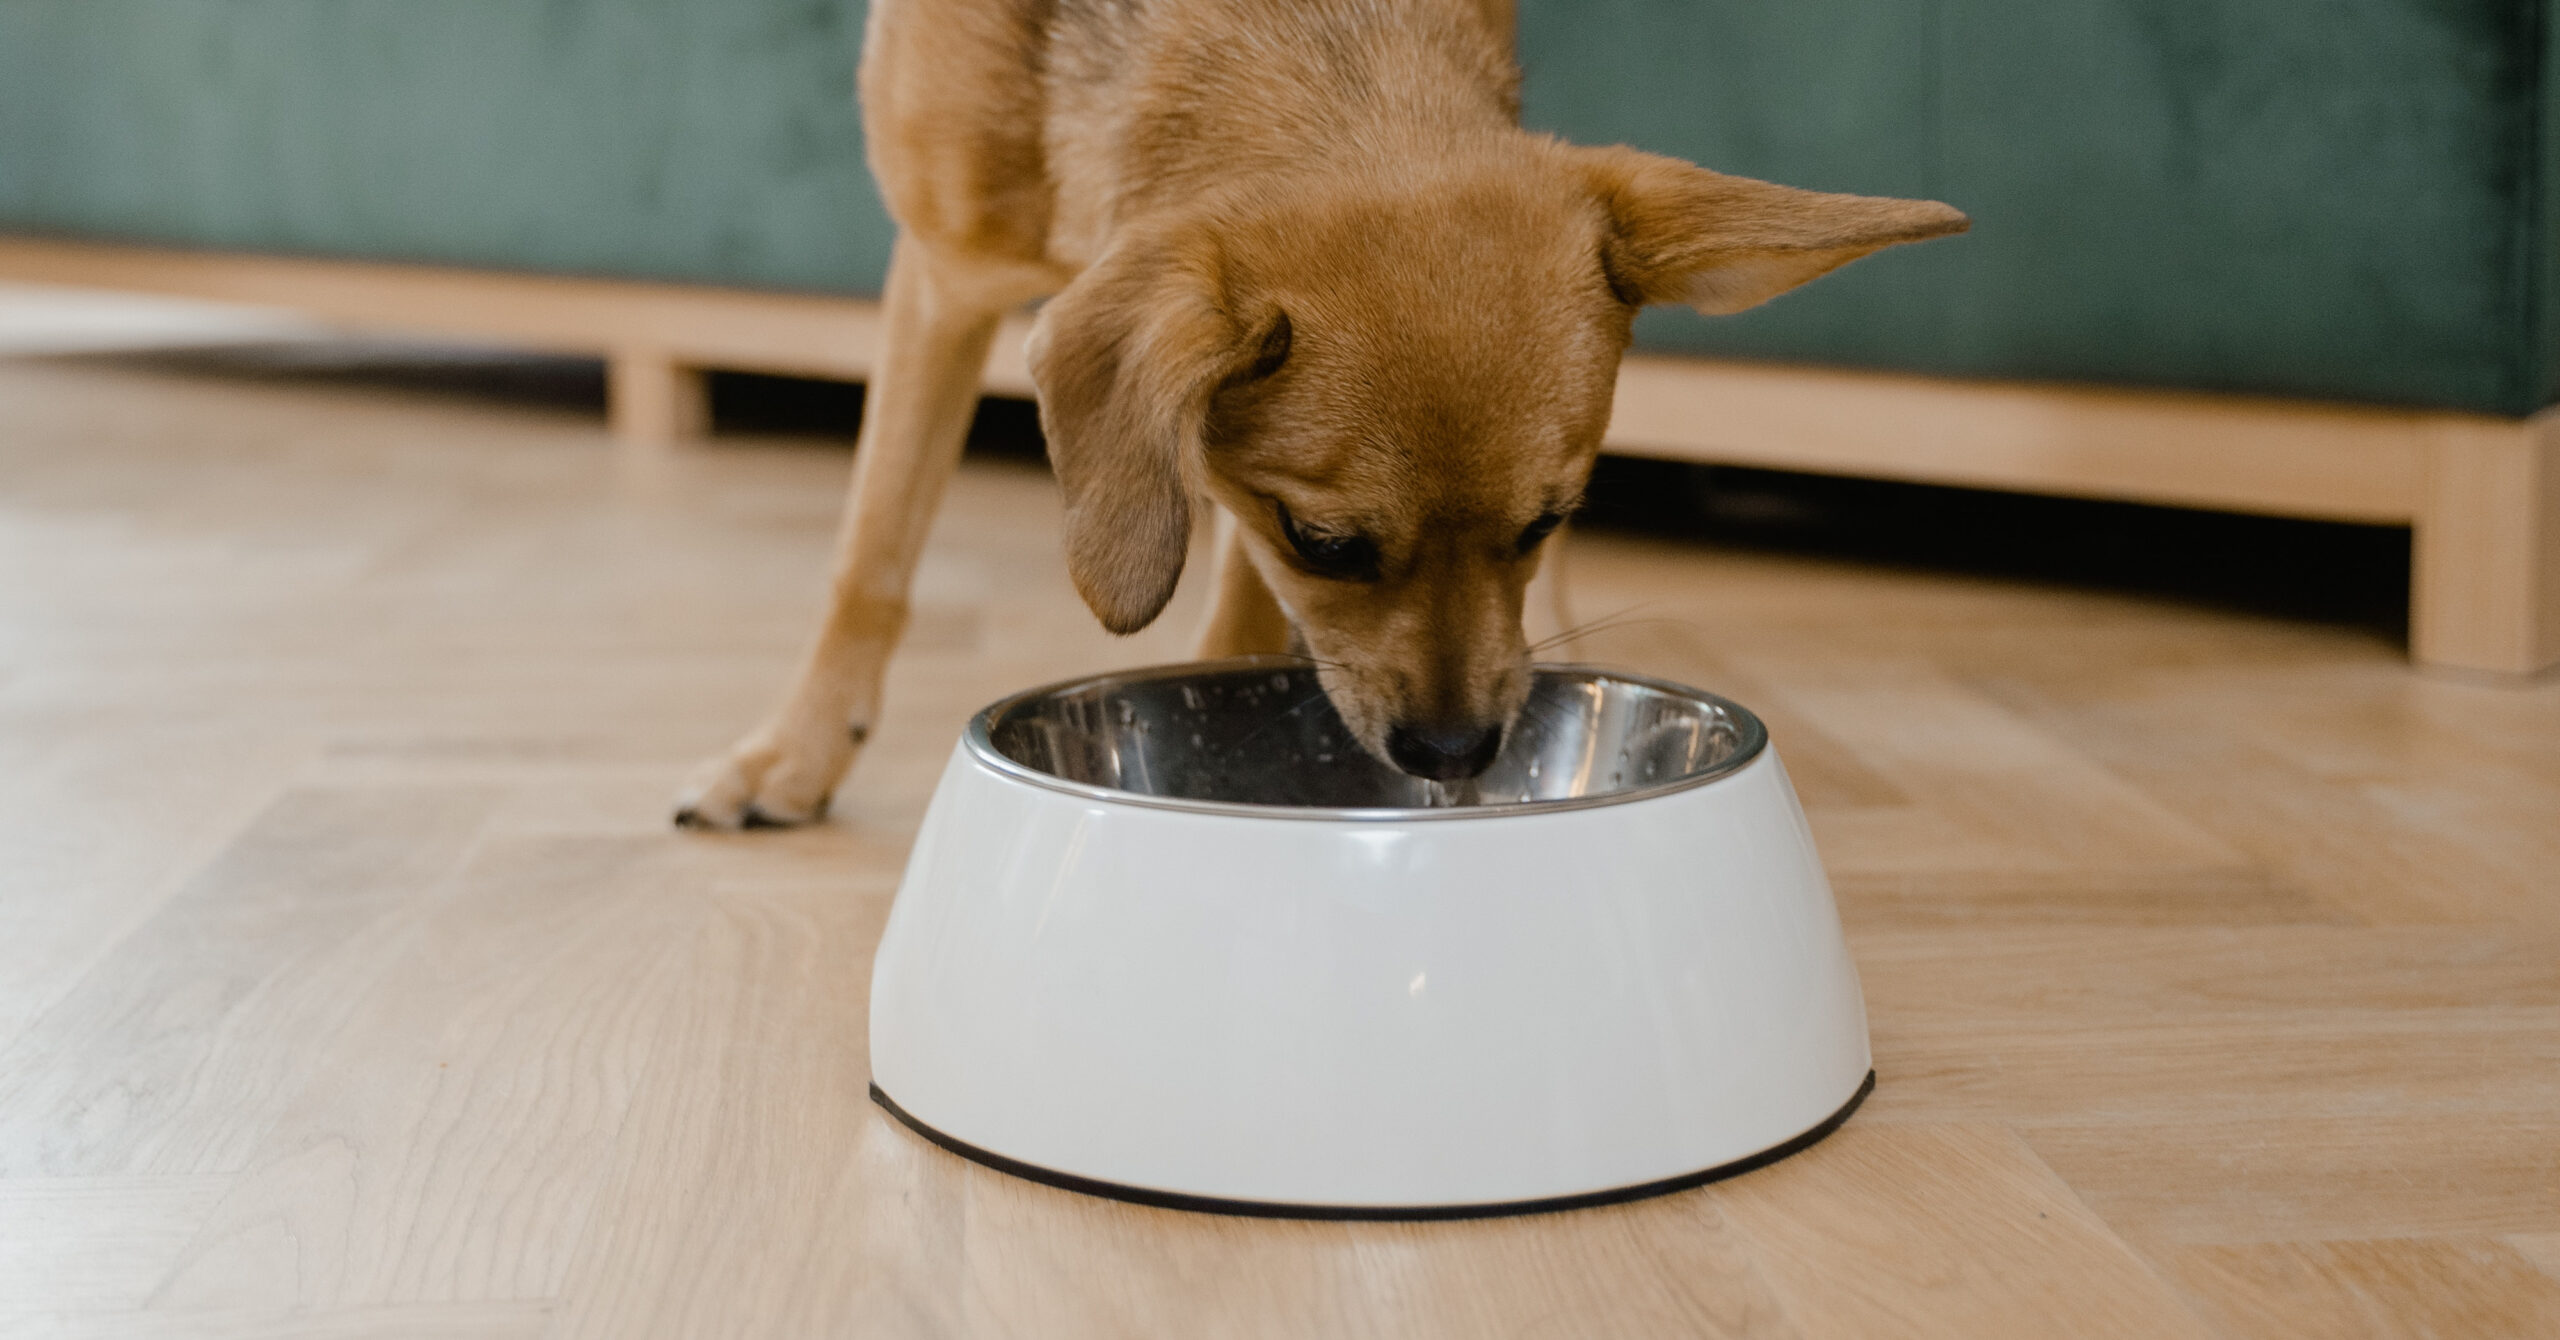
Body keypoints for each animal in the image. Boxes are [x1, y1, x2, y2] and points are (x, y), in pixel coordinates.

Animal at [670, 0, 1966, 830]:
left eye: (1544, 521)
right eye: (1327, 542)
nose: (1454, 754)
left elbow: (1236, 610)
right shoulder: (941, 278)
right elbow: (871, 554)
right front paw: (794, 748)